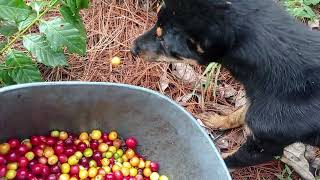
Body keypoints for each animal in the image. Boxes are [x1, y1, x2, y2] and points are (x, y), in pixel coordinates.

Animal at [130, 0, 320, 169]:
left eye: (164, 43)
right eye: (156, 20)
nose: (132, 48)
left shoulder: (264, 147)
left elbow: (228, 158)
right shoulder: (255, 102)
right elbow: (240, 113)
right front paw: (218, 120)